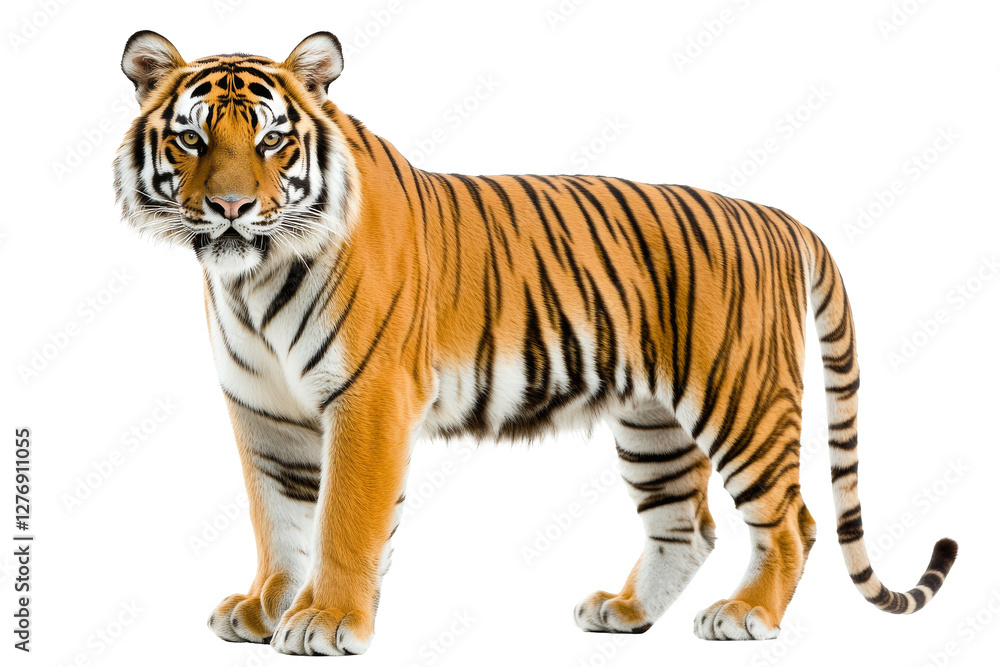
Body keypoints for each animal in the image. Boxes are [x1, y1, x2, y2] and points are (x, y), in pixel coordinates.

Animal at [113, 30, 958, 656]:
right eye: (190, 139)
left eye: (273, 142)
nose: (229, 207)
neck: (249, 279)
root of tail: (780, 217)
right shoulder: (265, 410)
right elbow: (279, 519)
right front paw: (265, 607)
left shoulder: (369, 397)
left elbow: (344, 521)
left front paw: (325, 620)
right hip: (653, 422)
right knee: (687, 525)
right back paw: (625, 611)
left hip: (742, 399)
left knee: (792, 521)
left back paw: (748, 614)